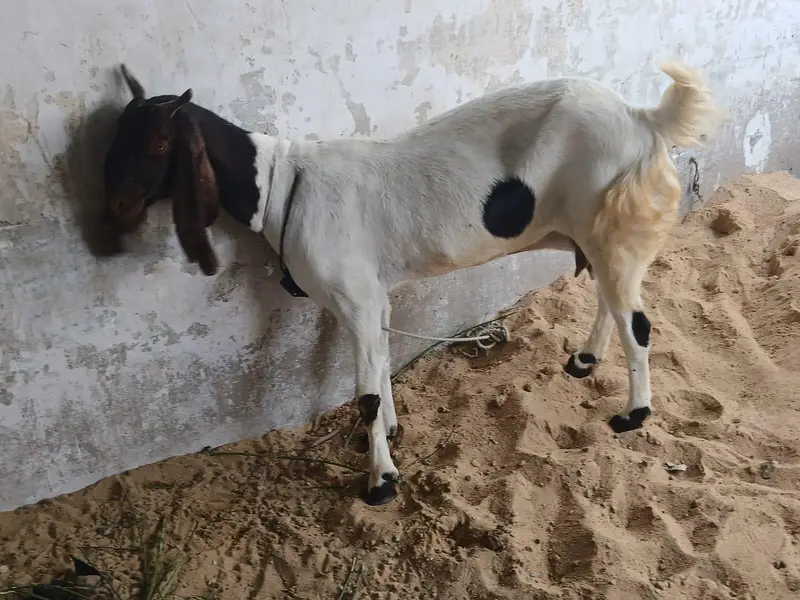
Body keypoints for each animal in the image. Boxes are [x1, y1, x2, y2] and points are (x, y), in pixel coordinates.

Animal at [103, 62, 722, 505]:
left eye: (160, 145)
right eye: (116, 139)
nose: (116, 209)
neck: (284, 184)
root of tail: (643, 117)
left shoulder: (353, 297)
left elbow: (365, 393)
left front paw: (380, 481)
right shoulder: (373, 294)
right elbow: (381, 366)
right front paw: (392, 434)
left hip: (614, 226)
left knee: (637, 321)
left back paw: (633, 414)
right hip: (599, 232)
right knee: (610, 302)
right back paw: (585, 360)